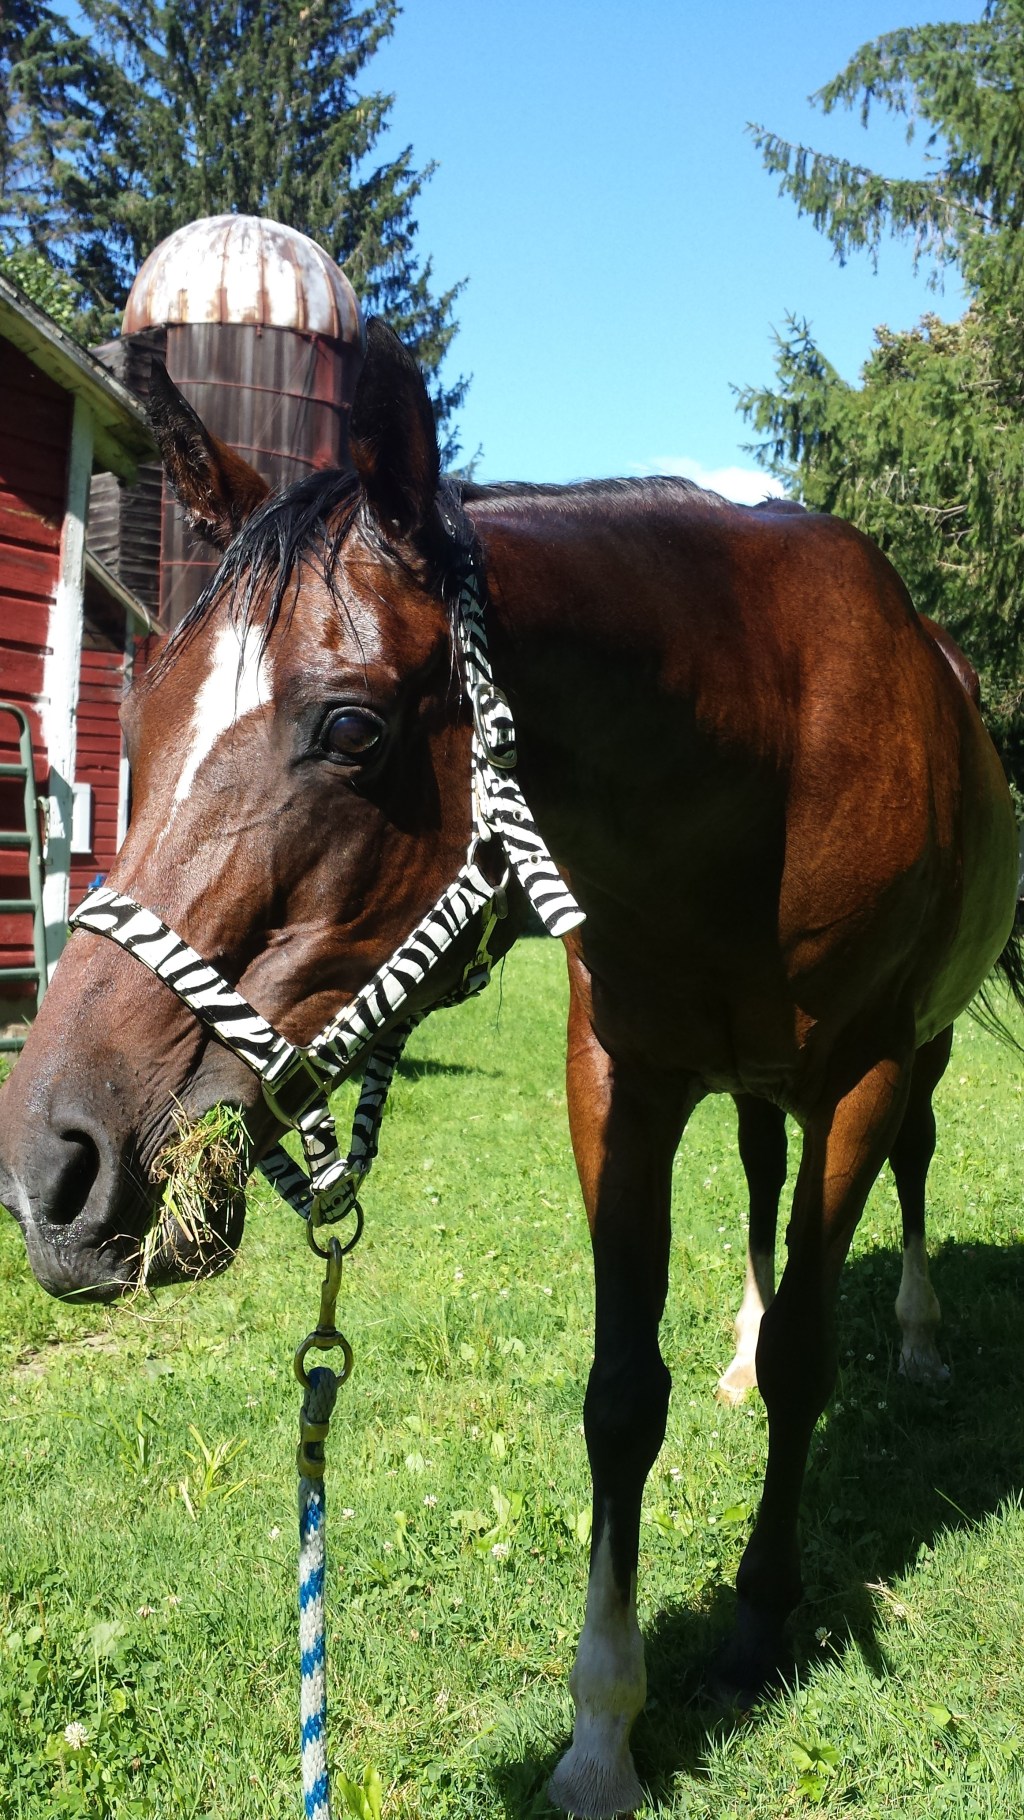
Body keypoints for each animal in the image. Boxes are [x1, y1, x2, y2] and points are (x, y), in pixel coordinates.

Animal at [0, 320, 1020, 1820]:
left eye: (352, 731)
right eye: (137, 716)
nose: (53, 1167)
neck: (770, 753)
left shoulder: (863, 1077)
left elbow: (810, 1362)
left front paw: (760, 1616)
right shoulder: (621, 1085)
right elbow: (621, 1398)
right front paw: (602, 1730)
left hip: (916, 1061)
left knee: (913, 1178)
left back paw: (925, 1335)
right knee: (760, 1182)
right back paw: (742, 1338)